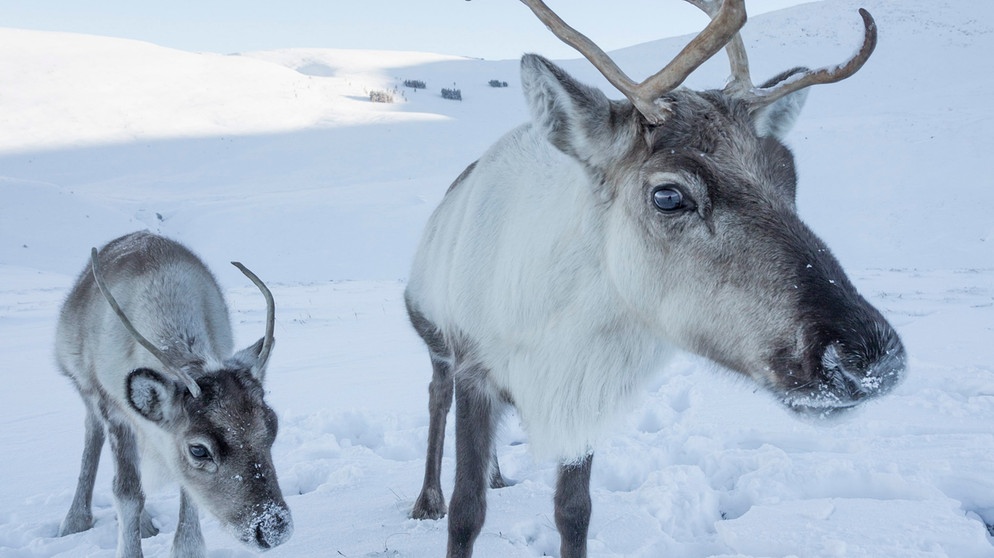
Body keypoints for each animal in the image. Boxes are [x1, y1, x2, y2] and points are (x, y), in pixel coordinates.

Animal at [56, 232, 290, 556]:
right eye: (199, 450)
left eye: (272, 429)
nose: (273, 528)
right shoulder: (114, 411)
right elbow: (127, 492)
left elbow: (185, 489)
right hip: (85, 389)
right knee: (93, 436)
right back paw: (75, 520)